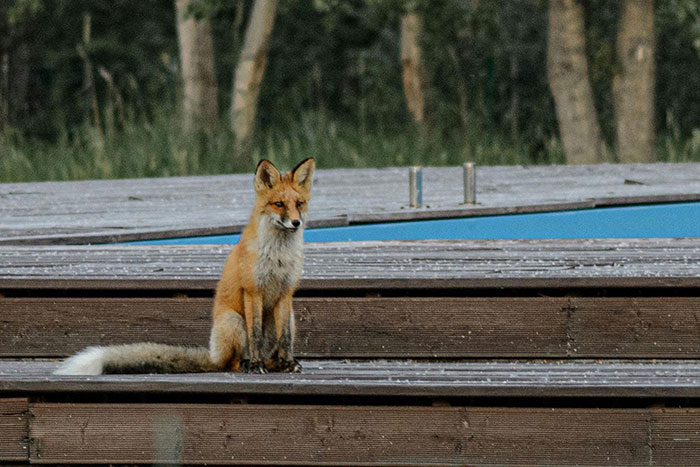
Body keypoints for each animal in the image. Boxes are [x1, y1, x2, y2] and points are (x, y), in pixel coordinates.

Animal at [56, 159, 316, 374]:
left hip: (290, 317)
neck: (278, 256)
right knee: (230, 363)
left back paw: (275, 364)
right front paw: (256, 365)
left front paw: (288, 363)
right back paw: (246, 364)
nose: (296, 223)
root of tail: (213, 356)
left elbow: (285, 339)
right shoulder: (253, 292)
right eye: (279, 204)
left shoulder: (286, 293)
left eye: (299, 204)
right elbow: (256, 337)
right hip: (233, 321)